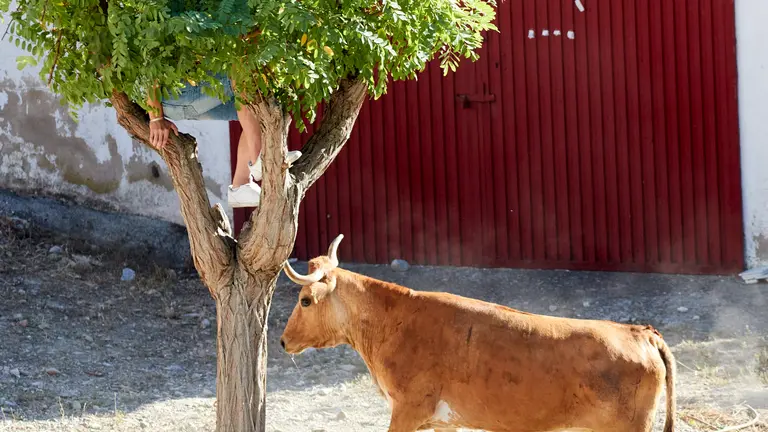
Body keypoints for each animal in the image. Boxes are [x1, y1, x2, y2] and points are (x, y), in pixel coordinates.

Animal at [280, 235, 676, 432]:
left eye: (304, 300)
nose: (283, 341)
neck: (395, 322)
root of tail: (642, 332)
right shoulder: (442, 423)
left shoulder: (407, 411)